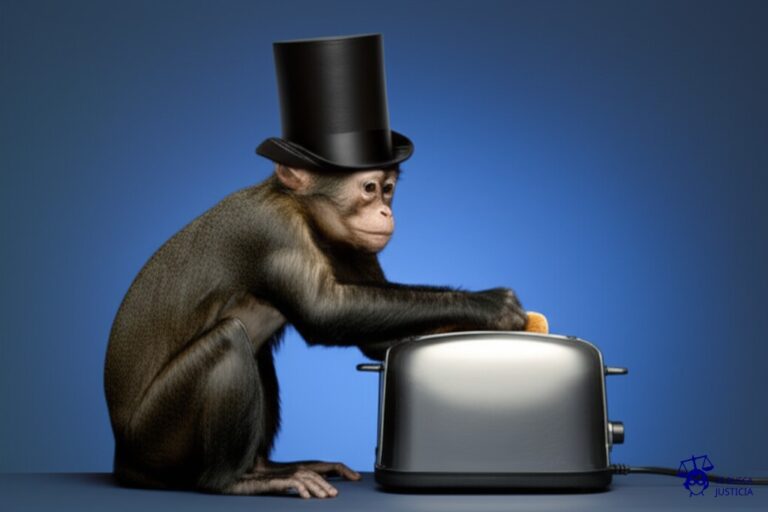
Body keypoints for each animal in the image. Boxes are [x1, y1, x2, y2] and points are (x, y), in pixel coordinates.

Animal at [104, 163, 528, 498]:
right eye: (369, 188)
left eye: (388, 188)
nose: (384, 209)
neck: (306, 213)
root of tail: (123, 458)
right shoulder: (273, 229)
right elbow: (324, 311)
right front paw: (490, 306)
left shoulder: (352, 246)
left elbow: (372, 340)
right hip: (157, 438)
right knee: (231, 340)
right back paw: (232, 482)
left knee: (255, 351)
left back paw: (266, 467)